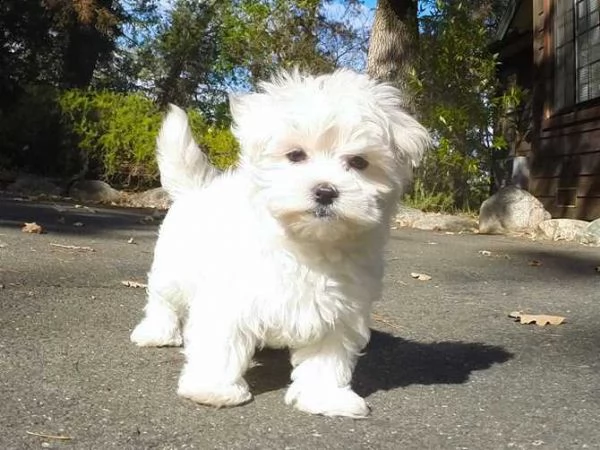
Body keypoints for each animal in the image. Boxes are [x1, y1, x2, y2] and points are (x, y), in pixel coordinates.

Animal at [133, 68, 428, 416]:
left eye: (359, 162)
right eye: (295, 155)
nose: (325, 191)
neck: (306, 243)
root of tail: (196, 189)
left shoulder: (339, 310)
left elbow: (327, 359)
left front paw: (324, 396)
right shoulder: (229, 296)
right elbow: (220, 342)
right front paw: (213, 388)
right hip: (172, 266)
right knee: (162, 298)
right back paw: (157, 331)